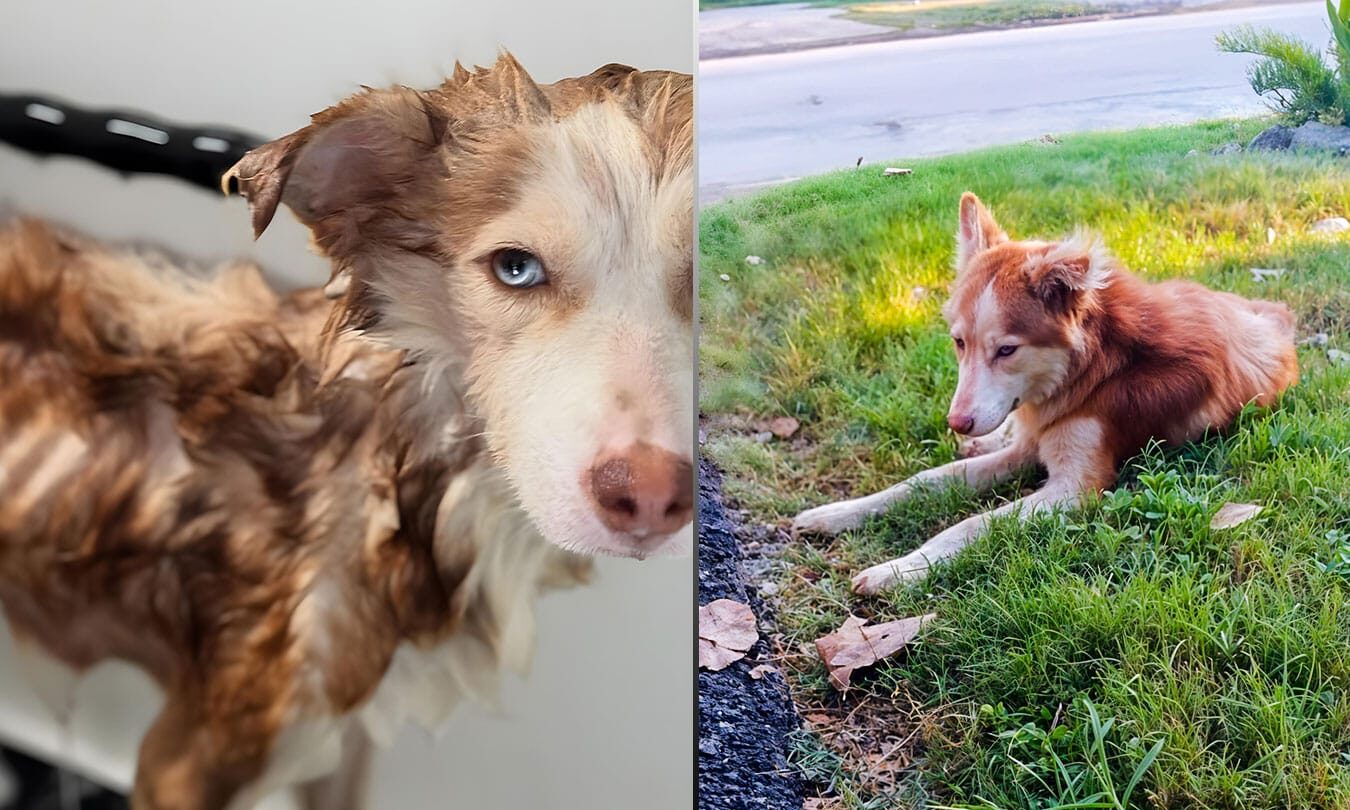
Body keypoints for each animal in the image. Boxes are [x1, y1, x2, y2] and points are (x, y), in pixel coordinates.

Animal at [788, 190, 1296, 594]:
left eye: (1007, 349)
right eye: (959, 342)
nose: (957, 422)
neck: (1093, 367)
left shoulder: (1076, 487)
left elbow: (972, 522)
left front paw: (899, 570)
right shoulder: (1026, 445)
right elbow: (925, 480)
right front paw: (837, 513)